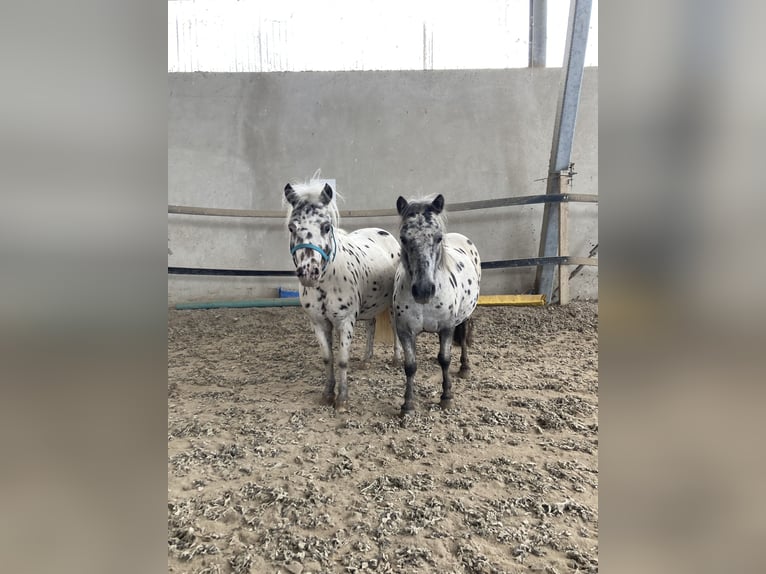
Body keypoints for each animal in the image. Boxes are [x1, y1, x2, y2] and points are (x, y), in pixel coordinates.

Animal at [284, 180, 401, 412]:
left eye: (326, 227)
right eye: (292, 227)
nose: (309, 272)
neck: (328, 280)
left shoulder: (345, 322)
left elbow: (342, 360)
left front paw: (342, 400)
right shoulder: (319, 324)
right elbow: (328, 359)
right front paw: (327, 394)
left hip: (391, 305)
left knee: (394, 328)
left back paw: (396, 359)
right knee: (372, 325)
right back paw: (366, 360)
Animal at [393, 194, 481, 415]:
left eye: (438, 237)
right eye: (404, 238)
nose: (424, 290)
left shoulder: (447, 327)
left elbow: (445, 360)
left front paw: (446, 396)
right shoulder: (405, 331)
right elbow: (410, 366)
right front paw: (407, 404)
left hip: (464, 316)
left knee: (463, 337)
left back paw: (465, 367)